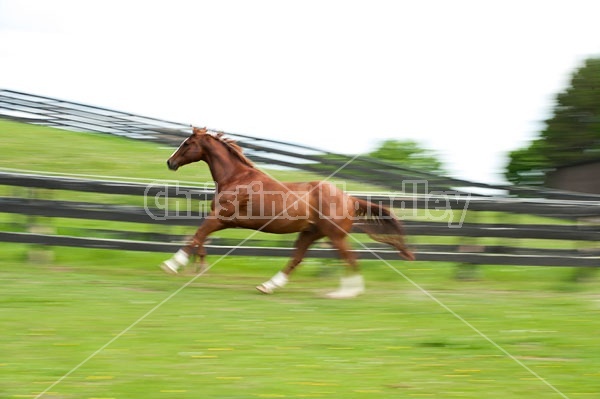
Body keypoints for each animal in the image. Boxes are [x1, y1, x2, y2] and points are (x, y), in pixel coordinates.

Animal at [159, 126, 414, 298]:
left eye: (187, 143)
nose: (170, 163)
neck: (237, 178)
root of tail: (350, 199)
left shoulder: (222, 218)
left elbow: (197, 235)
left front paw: (172, 265)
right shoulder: (221, 220)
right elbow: (199, 237)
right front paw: (199, 266)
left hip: (334, 235)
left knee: (349, 258)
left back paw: (345, 293)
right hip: (311, 233)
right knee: (297, 259)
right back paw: (267, 286)